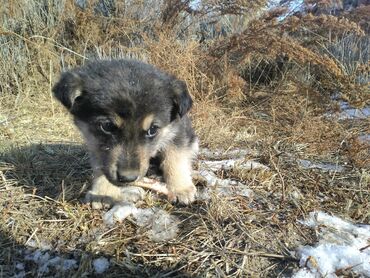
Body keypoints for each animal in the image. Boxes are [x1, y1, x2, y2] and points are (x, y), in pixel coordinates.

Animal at [53, 59, 198, 207]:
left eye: (152, 130)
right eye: (107, 126)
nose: (128, 178)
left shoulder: (177, 131)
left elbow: (175, 158)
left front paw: (181, 188)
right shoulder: (95, 142)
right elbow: (101, 164)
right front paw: (103, 192)